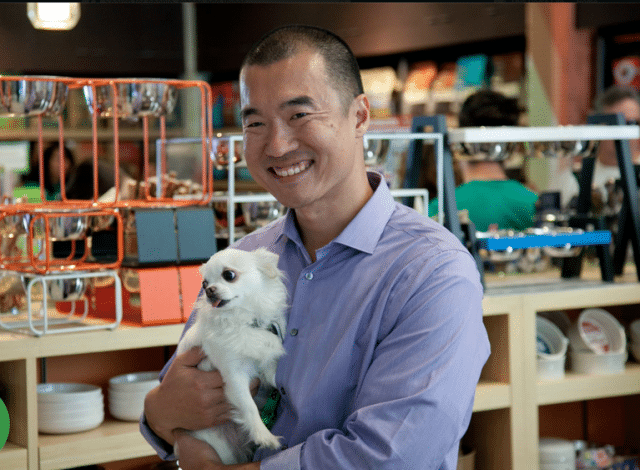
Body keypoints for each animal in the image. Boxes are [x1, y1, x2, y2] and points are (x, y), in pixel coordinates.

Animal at [172, 248, 288, 464]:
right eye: (204, 284)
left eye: (229, 275)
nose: (209, 291)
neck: (242, 320)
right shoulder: (234, 375)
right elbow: (249, 406)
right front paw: (264, 435)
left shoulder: (266, 365)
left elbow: (274, 377)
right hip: (220, 447)